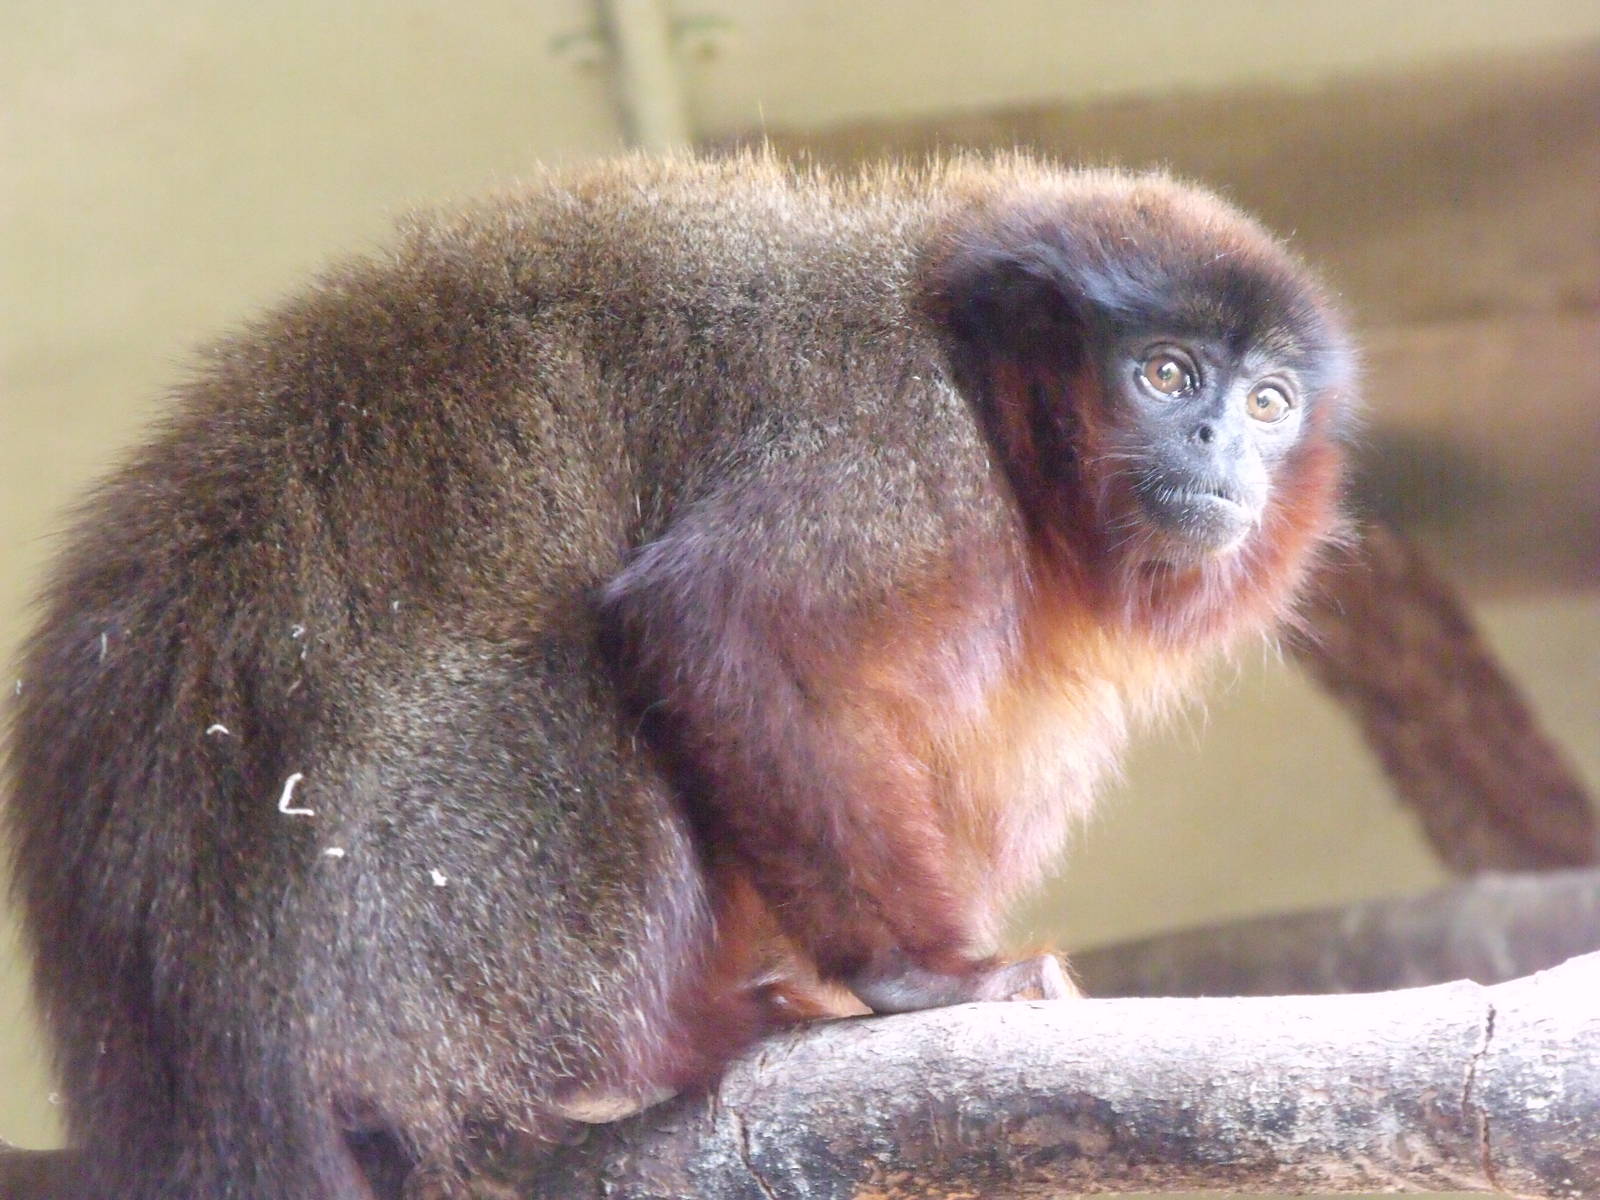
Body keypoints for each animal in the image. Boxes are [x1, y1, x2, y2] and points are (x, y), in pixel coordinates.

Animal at [4, 153, 1354, 1198]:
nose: (1218, 444)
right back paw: (604, 1078)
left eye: (1268, 402)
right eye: (1165, 374)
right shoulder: (898, 454)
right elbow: (712, 624)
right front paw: (922, 981)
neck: (976, 388)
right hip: (416, 943)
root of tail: (215, 1040)